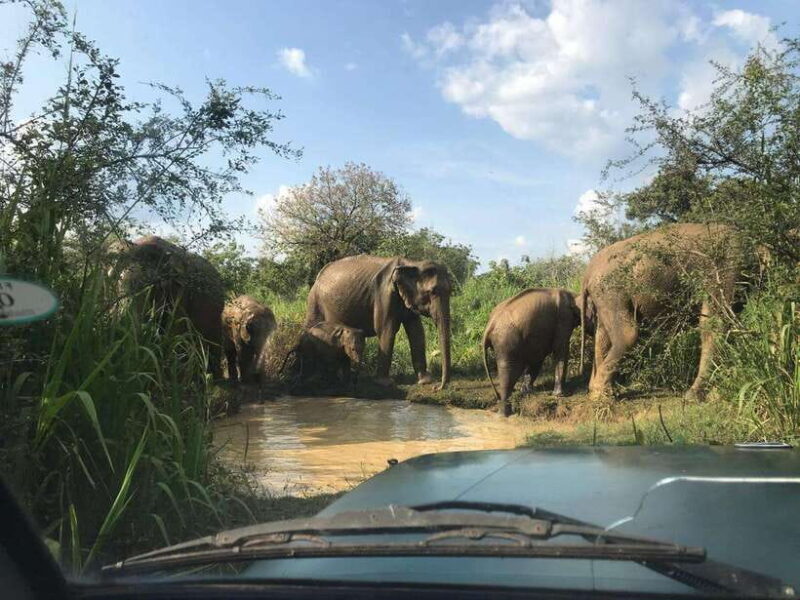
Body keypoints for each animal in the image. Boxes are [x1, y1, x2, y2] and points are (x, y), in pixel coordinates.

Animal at [305, 255, 452, 388]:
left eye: (450, 291)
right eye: (432, 292)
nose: (438, 387)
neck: (411, 263)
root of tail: (319, 275)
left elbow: (416, 332)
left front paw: (426, 381)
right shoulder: (384, 295)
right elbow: (386, 330)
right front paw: (385, 383)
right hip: (315, 300)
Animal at [482, 288, 584, 417]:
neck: (574, 295)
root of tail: (490, 324)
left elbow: (537, 358)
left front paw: (526, 392)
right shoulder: (563, 319)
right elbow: (561, 349)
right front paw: (560, 395)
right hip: (506, 340)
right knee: (511, 371)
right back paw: (505, 414)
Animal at [579, 223, 743, 400]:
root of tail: (589, 270)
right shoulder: (724, 265)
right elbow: (714, 323)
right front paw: (695, 397)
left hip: (604, 296)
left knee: (602, 335)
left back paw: (600, 392)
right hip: (612, 289)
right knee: (628, 334)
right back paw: (601, 395)